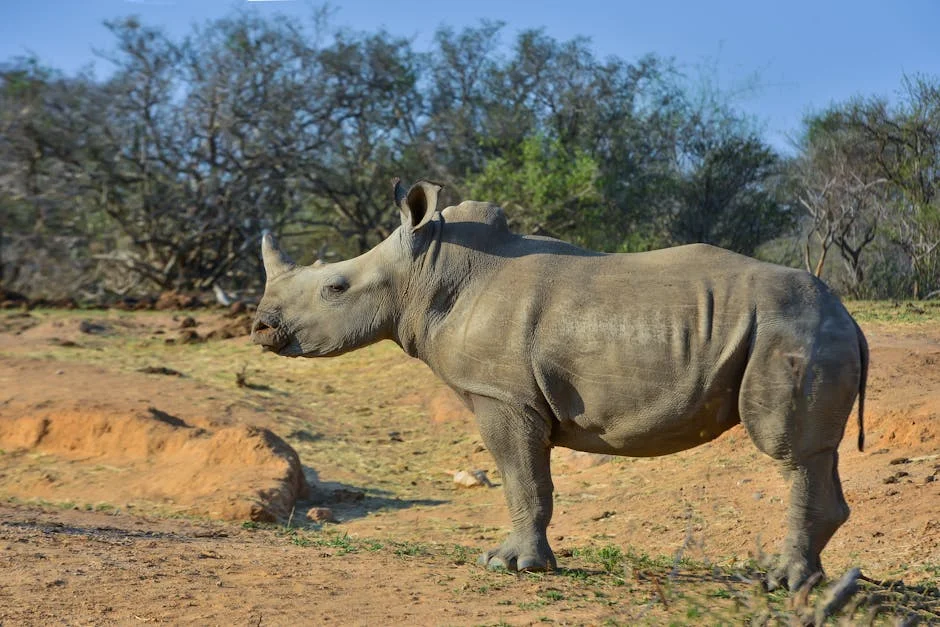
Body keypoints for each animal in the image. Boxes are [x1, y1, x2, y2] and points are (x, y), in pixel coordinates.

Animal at [251, 179, 868, 591]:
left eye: (335, 287)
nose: (259, 327)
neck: (426, 271)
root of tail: (850, 318)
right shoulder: (514, 398)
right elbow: (530, 481)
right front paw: (526, 562)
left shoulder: (503, 397)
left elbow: (522, 480)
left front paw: (510, 566)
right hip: (802, 332)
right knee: (817, 454)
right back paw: (811, 583)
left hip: (793, 332)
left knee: (791, 454)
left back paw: (782, 584)